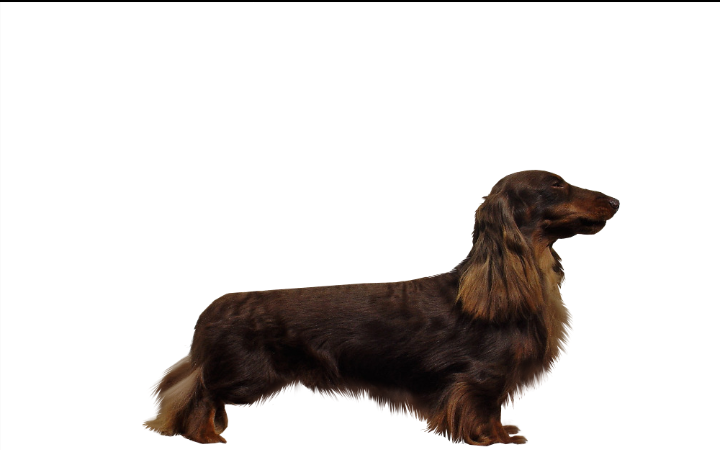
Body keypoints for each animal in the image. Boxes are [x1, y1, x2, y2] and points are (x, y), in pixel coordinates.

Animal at [145, 170, 619, 445]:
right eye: (556, 185)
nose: (616, 201)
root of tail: (211, 309)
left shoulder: (492, 380)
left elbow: (496, 410)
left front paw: (503, 432)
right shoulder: (480, 377)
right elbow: (481, 410)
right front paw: (491, 440)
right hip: (247, 376)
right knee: (197, 392)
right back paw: (204, 435)